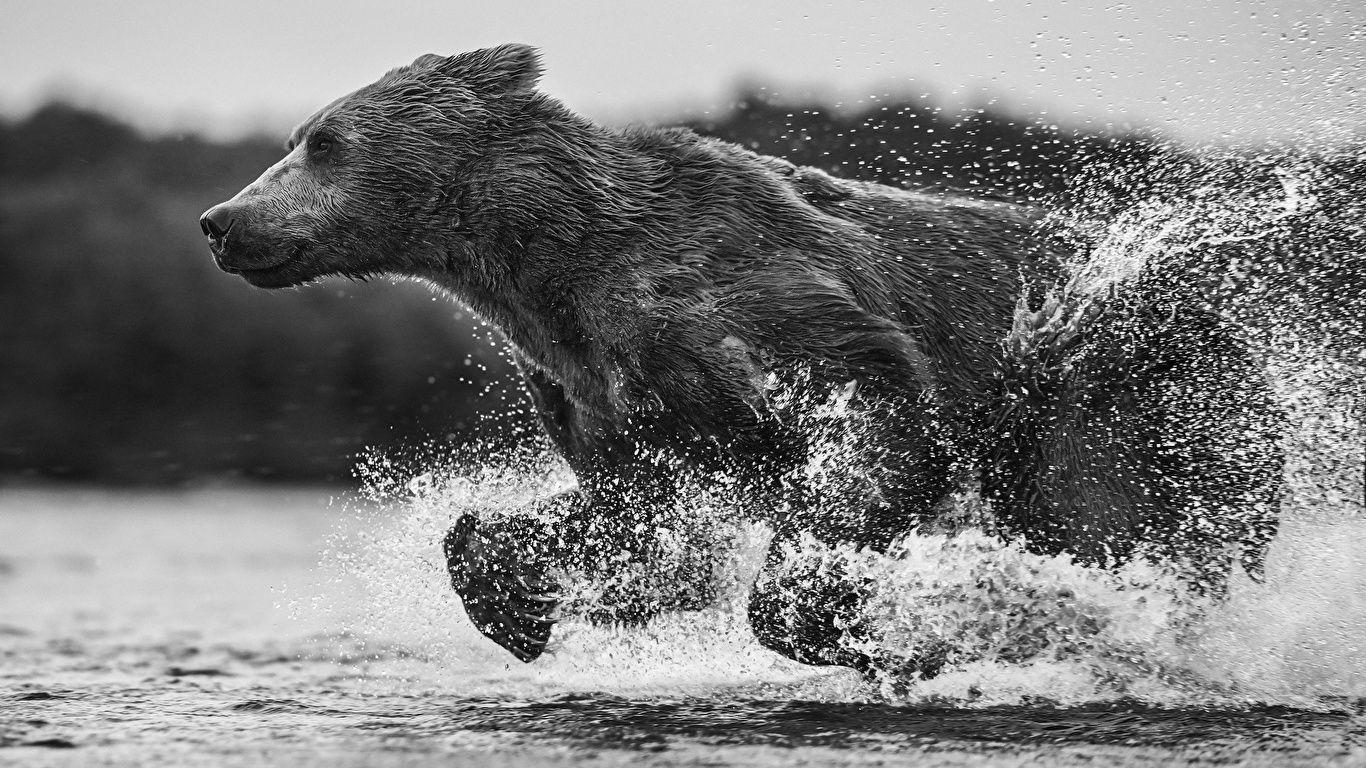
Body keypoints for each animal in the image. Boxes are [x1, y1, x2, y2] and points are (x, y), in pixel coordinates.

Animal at [200, 44, 1283, 678]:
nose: (222, 221)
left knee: (1112, 517)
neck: (548, 264)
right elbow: (642, 526)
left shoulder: (735, 295)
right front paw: (515, 597)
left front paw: (867, 619)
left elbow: (871, 415)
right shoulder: (596, 384)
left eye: (325, 140)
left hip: (1110, 391)